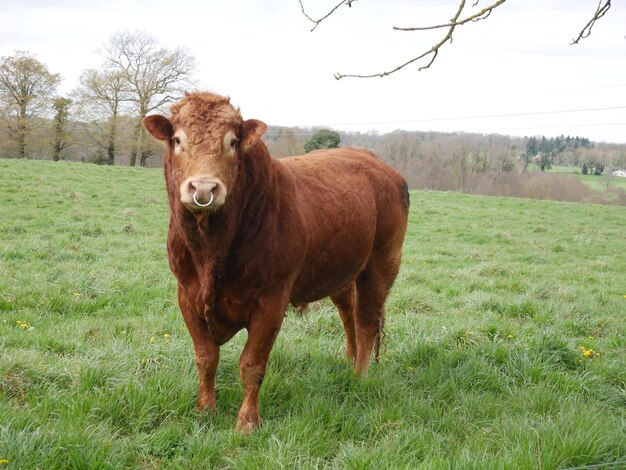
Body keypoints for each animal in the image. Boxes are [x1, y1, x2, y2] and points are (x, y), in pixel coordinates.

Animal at [142, 92, 408, 434]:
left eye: (232, 142)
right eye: (177, 139)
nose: (203, 188)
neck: (210, 252)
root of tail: (376, 162)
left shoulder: (271, 300)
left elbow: (252, 364)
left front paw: (246, 422)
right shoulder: (187, 296)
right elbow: (206, 357)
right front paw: (205, 410)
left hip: (381, 263)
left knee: (366, 322)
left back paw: (359, 377)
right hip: (343, 269)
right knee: (348, 311)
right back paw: (349, 361)